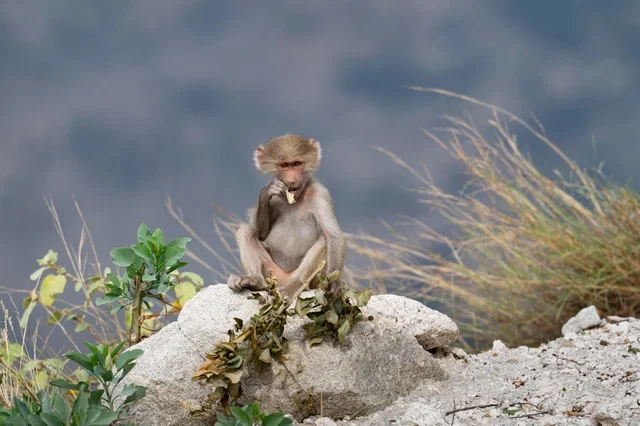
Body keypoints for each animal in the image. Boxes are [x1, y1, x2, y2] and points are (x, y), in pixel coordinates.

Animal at [226, 133, 346, 301]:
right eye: (284, 165)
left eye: (297, 164)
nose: (291, 180)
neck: (297, 197)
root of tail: (283, 281)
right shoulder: (276, 199)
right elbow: (261, 234)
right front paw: (267, 192)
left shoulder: (320, 194)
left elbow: (333, 235)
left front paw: (334, 284)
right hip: (271, 275)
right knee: (246, 231)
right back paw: (254, 280)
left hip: (307, 280)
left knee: (324, 239)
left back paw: (296, 285)